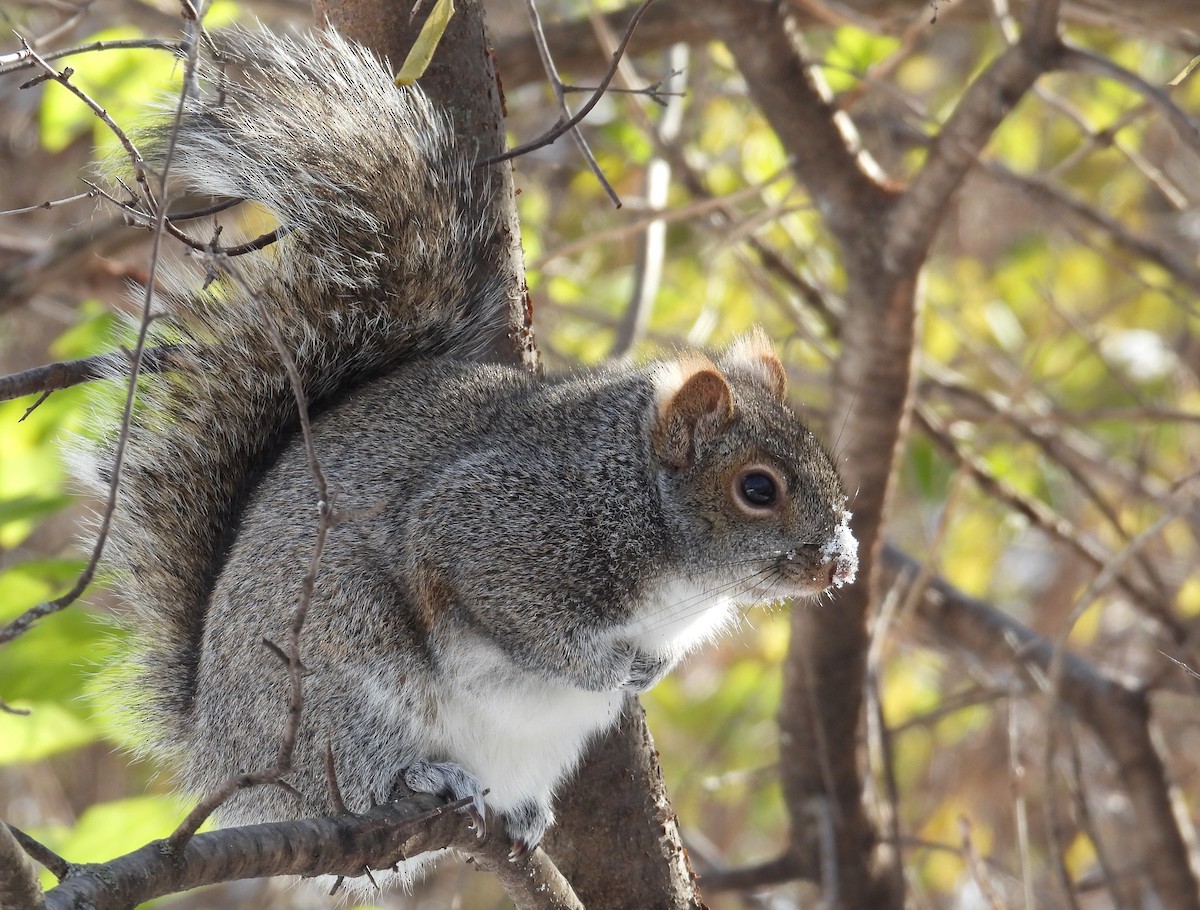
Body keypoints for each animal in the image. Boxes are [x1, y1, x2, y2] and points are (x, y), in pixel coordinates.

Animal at [80, 26, 858, 886]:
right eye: (758, 488)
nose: (839, 563)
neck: (643, 503)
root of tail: (227, 759)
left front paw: (648, 672)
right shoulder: (503, 528)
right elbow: (521, 618)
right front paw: (605, 671)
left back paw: (521, 814)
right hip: (340, 683)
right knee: (357, 770)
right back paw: (422, 776)